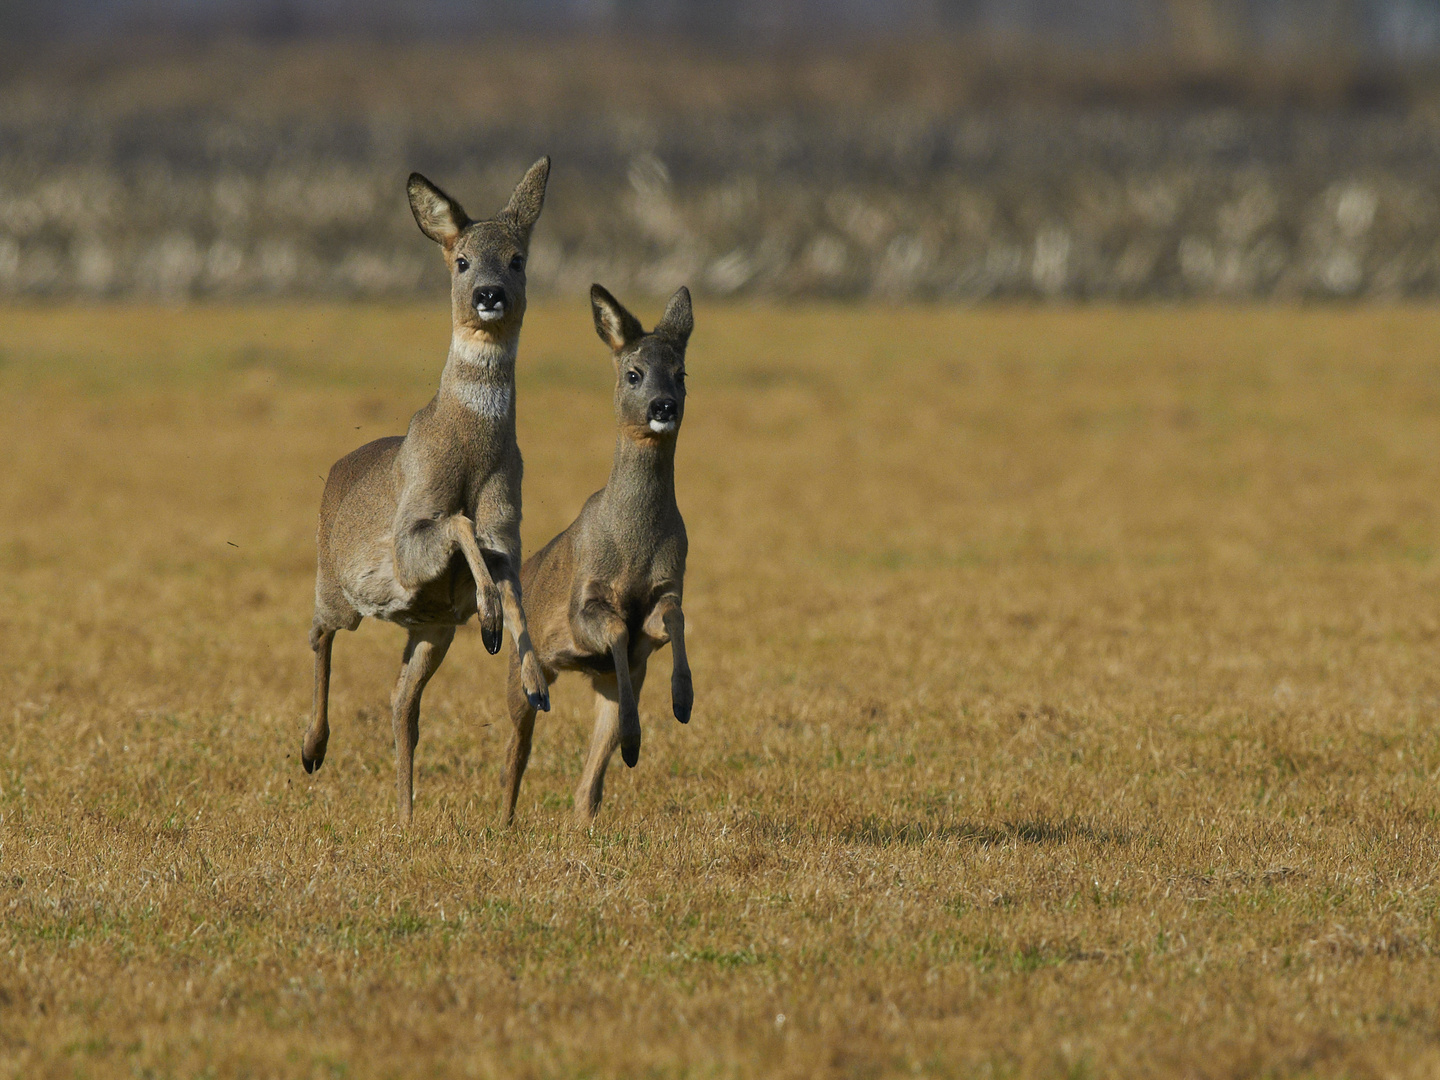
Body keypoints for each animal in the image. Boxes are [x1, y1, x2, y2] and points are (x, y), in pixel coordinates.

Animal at [300, 158, 547, 817]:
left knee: (401, 706)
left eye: (517, 257)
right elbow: (456, 523)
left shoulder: (506, 532)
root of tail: (337, 470)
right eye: (461, 260)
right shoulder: (412, 537)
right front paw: (489, 617)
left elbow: (513, 590)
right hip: (338, 588)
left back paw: (406, 814)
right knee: (318, 633)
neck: (467, 447)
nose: (489, 294)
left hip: (429, 631)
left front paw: (534, 679)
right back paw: (311, 749)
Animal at [506, 283, 696, 823]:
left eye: (681, 373)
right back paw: (504, 823)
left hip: (607, 683)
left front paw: (682, 701)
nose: (663, 406)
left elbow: (673, 616)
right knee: (515, 755)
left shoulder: (666, 591)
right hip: (520, 675)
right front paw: (639, 736)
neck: (633, 542)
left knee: (588, 782)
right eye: (633, 372)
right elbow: (613, 626)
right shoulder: (585, 599)